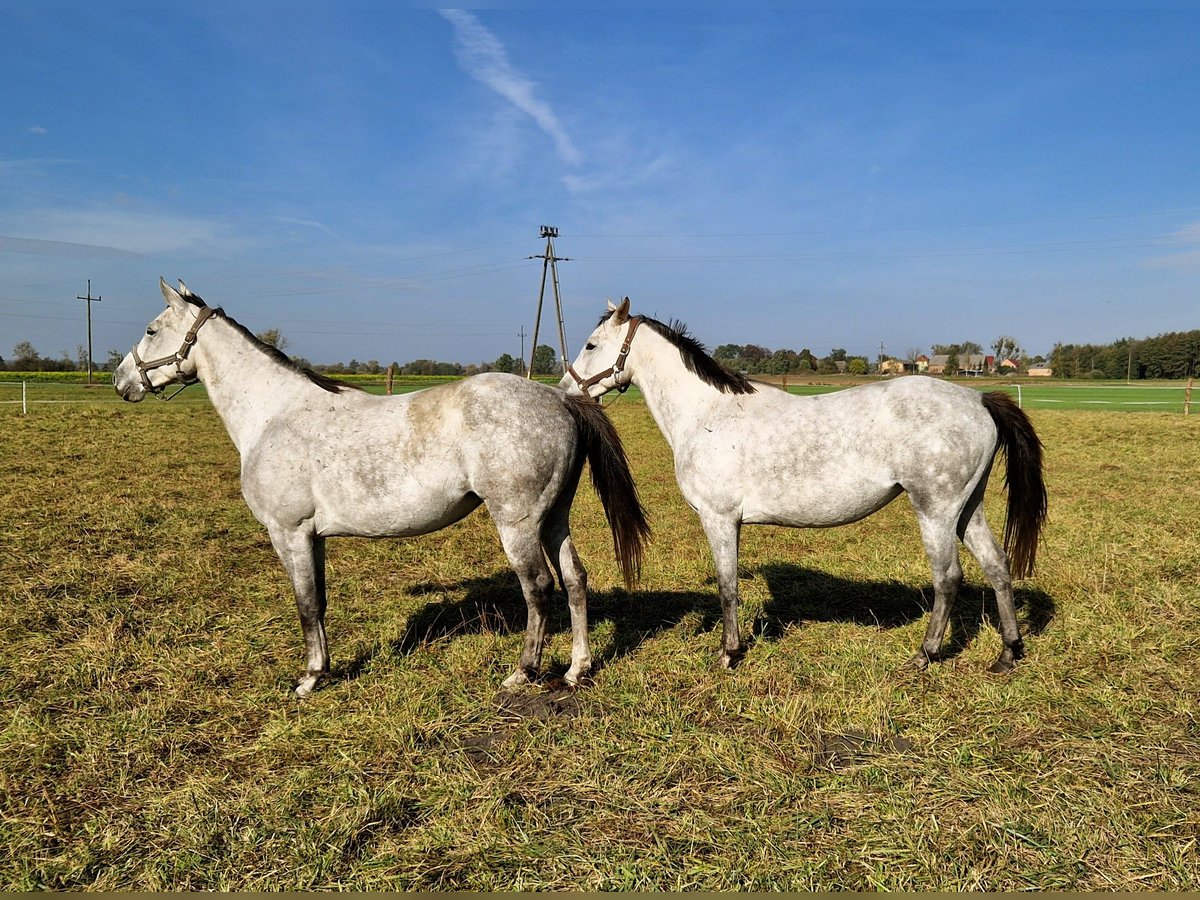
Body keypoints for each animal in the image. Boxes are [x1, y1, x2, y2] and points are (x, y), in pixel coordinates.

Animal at [117, 280, 652, 696]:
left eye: (150, 330)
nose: (122, 381)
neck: (273, 414)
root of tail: (560, 399)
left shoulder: (288, 533)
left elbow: (305, 604)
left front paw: (309, 680)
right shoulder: (311, 538)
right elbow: (319, 601)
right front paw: (324, 669)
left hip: (518, 523)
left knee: (538, 587)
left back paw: (522, 673)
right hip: (553, 517)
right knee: (575, 580)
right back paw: (577, 669)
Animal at [559, 301, 1041, 676]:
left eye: (591, 345)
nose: (566, 391)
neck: (707, 412)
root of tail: (978, 400)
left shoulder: (719, 518)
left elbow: (727, 586)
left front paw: (728, 654)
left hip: (936, 510)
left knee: (948, 579)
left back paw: (925, 655)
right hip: (967, 508)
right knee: (997, 566)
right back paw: (1008, 653)